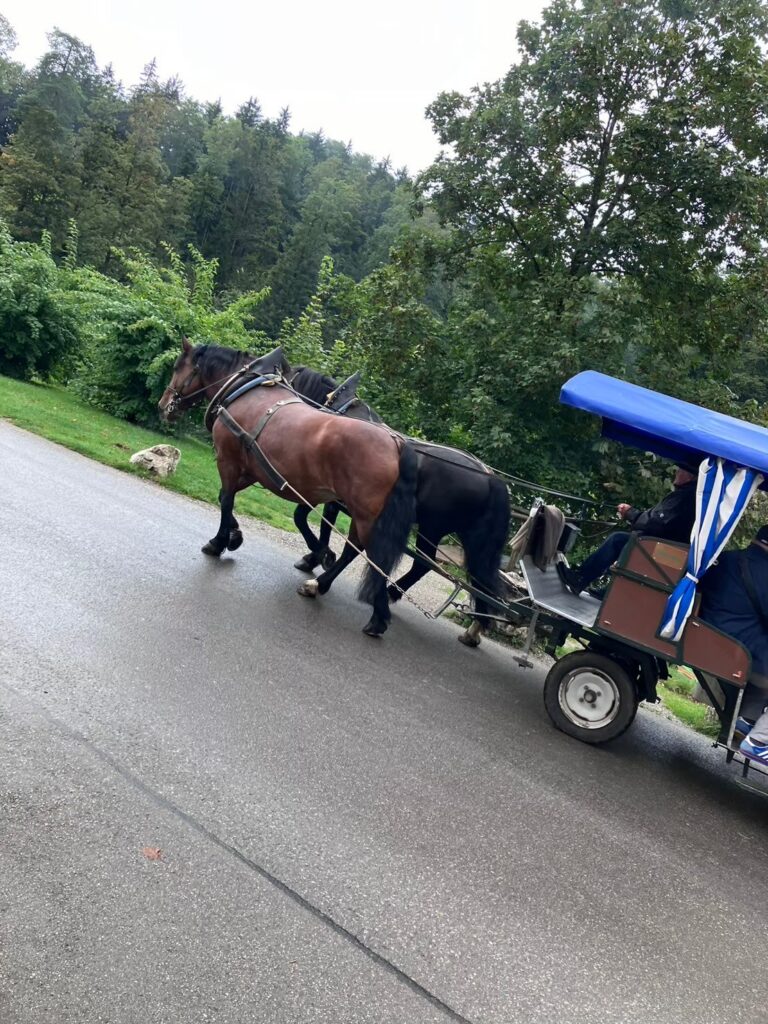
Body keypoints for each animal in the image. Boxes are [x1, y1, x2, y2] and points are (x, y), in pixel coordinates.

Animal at [158, 338, 417, 637]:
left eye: (178, 367)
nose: (163, 405)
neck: (245, 390)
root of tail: (397, 444)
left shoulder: (229, 460)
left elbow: (226, 501)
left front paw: (218, 541)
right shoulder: (255, 468)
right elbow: (227, 496)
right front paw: (235, 536)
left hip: (365, 514)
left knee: (368, 555)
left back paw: (375, 613)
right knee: (356, 550)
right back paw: (323, 585)